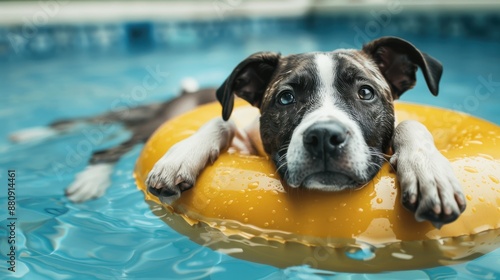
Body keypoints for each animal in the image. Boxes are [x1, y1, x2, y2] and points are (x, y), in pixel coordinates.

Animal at [146, 37, 466, 229]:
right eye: (286, 98)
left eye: (366, 92)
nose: (324, 136)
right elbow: (223, 122)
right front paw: (181, 156)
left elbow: (411, 125)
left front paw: (428, 173)